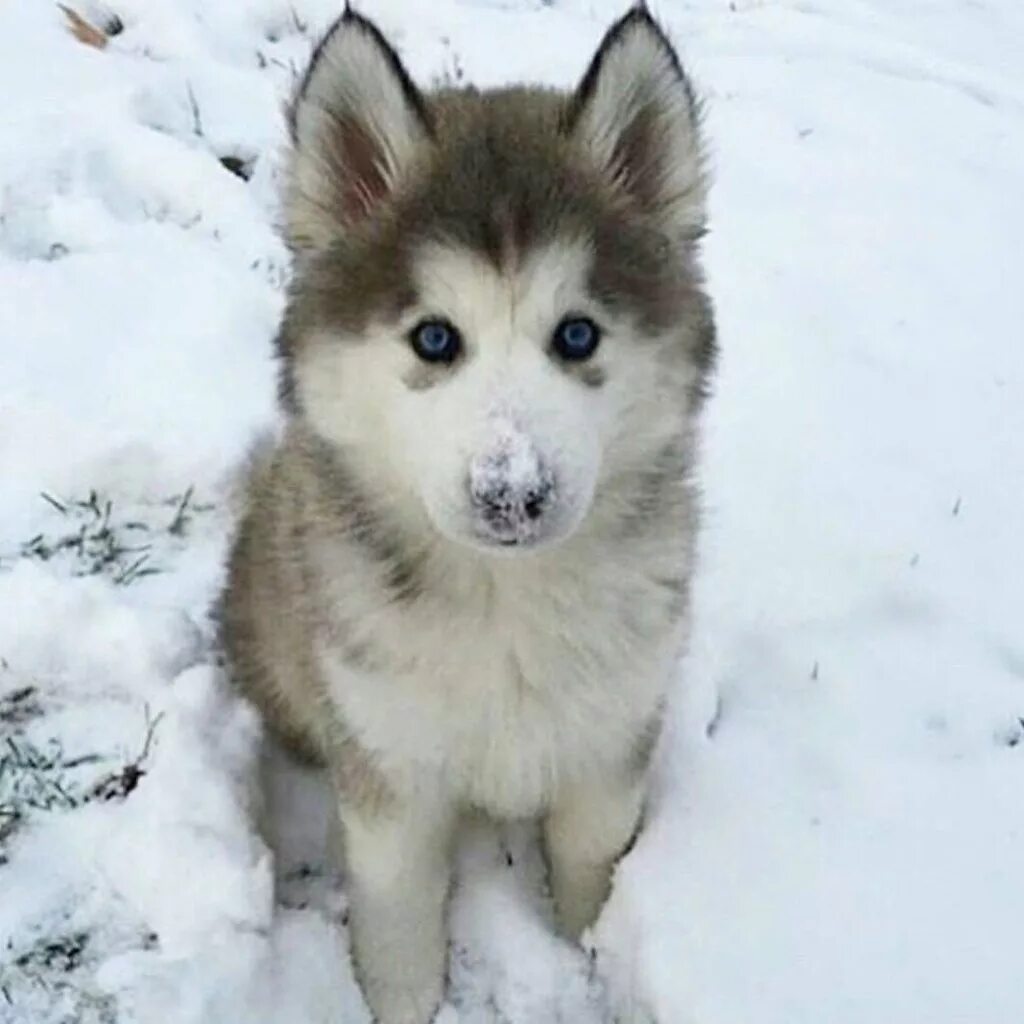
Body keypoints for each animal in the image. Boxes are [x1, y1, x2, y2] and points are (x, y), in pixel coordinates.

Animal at [223, 4, 716, 1019]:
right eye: (435, 339)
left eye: (578, 335)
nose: (512, 494)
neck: (505, 601)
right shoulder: (390, 770)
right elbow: (400, 923)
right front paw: (408, 1000)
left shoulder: (610, 741)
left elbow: (591, 869)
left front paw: (591, 958)